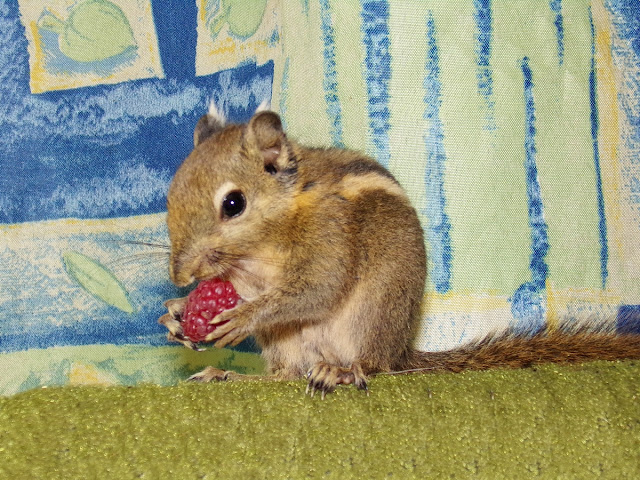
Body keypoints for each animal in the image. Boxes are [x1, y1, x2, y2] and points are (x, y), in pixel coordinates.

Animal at [159, 104, 640, 398]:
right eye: (171, 193)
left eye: (233, 204)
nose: (180, 275)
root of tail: (401, 352)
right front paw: (179, 314)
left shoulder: (330, 237)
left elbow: (316, 290)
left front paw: (241, 317)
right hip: (287, 344)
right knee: (285, 377)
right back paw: (227, 375)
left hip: (371, 315)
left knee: (369, 367)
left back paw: (339, 372)